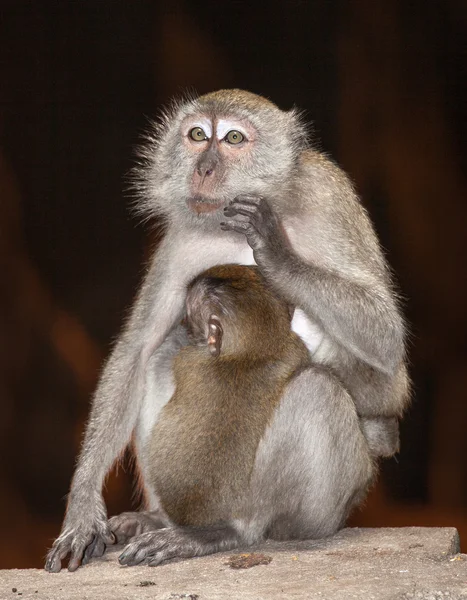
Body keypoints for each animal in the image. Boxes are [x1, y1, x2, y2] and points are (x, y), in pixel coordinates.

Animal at [44, 88, 410, 572]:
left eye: (234, 138)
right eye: (198, 135)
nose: (204, 168)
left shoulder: (328, 197)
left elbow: (386, 346)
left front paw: (277, 255)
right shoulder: (183, 238)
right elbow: (138, 349)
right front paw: (83, 509)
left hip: (327, 508)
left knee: (317, 390)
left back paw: (232, 531)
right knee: (161, 354)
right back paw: (161, 518)